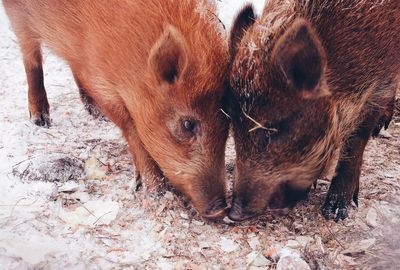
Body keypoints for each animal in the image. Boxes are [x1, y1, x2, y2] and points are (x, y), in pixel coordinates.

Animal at [3, 0, 230, 218]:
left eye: (226, 126)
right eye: (188, 124)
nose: (221, 209)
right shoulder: (100, 82)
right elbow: (132, 130)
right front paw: (155, 191)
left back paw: (95, 114)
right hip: (18, 18)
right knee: (31, 58)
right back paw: (41, 121)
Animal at [227, 1, 398, 221]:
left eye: (275, 128)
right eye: (234, 127)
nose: (233, 213)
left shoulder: (380, 84)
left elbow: (356, 142)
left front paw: (335, 213)